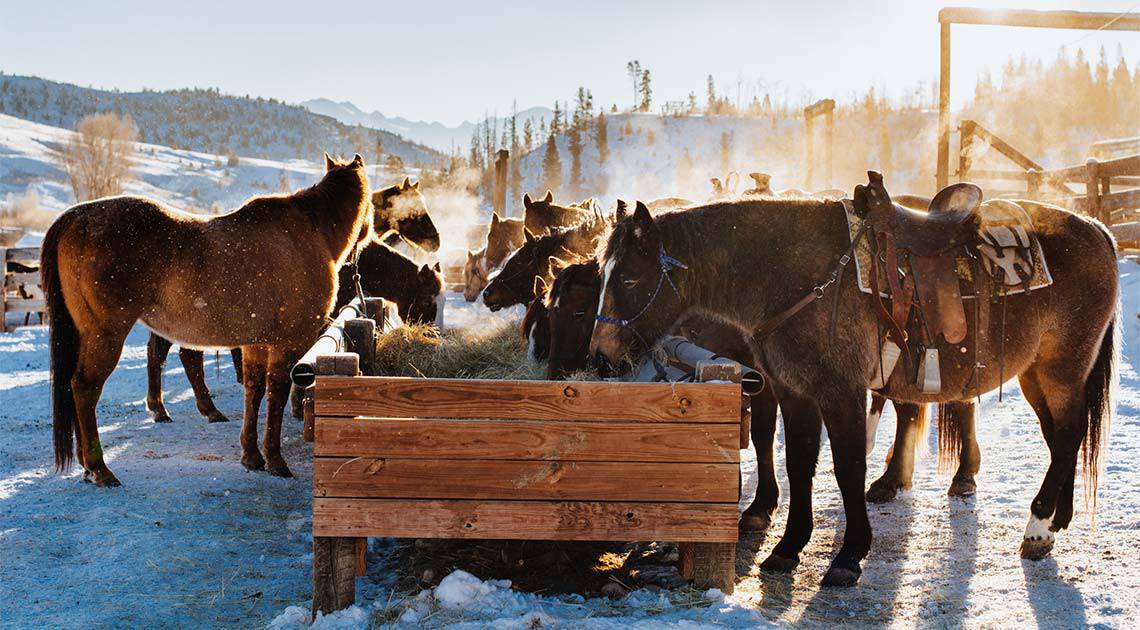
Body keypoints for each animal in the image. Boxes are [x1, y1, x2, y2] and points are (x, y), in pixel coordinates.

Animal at [44, 153, 371, 485]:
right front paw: (275, 459)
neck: (308, 232)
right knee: (85, 388)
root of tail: (78, 217)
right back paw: (99, 468)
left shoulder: (255, 344)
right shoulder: (287, 343)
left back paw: (88, 464)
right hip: (105, 336)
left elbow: (254, 391)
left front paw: (252, 455)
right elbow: (276, 395)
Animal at [144, 174, 437, 421]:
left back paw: (162, 407)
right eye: (427, 300)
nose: (437, 241)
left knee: (162, 352)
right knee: (185, 355)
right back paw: (201, 409)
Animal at [592, 182, 1117, 583]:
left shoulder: (840, 392)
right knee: (1060, 437)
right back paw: (1058, 516)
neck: (795, 276)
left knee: (1067, 434)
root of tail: (1097, 229)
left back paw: (1037, 528)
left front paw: (849, 554)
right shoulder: (792, 391)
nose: (600, 356)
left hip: (1062, 369)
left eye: (632, 278)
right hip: (1036, 373)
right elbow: (799, 461)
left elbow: (846, 468)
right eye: (602, 273)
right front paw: (787, 547)